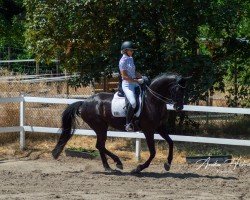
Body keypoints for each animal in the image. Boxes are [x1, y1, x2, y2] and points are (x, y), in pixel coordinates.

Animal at [52, 73, 189, 173]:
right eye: (176, 89)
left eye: (184, 91)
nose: (179, 107)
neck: (153, 101)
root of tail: (84, 102)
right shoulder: (148, 130)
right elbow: (153, 152)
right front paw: (138, 168)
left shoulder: (160, 128)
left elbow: (171, 142)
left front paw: (168, 164)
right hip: (100, 127)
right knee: (100, 145)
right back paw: (115, 164)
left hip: (102, 127)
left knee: (100, 146)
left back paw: (110, 166)